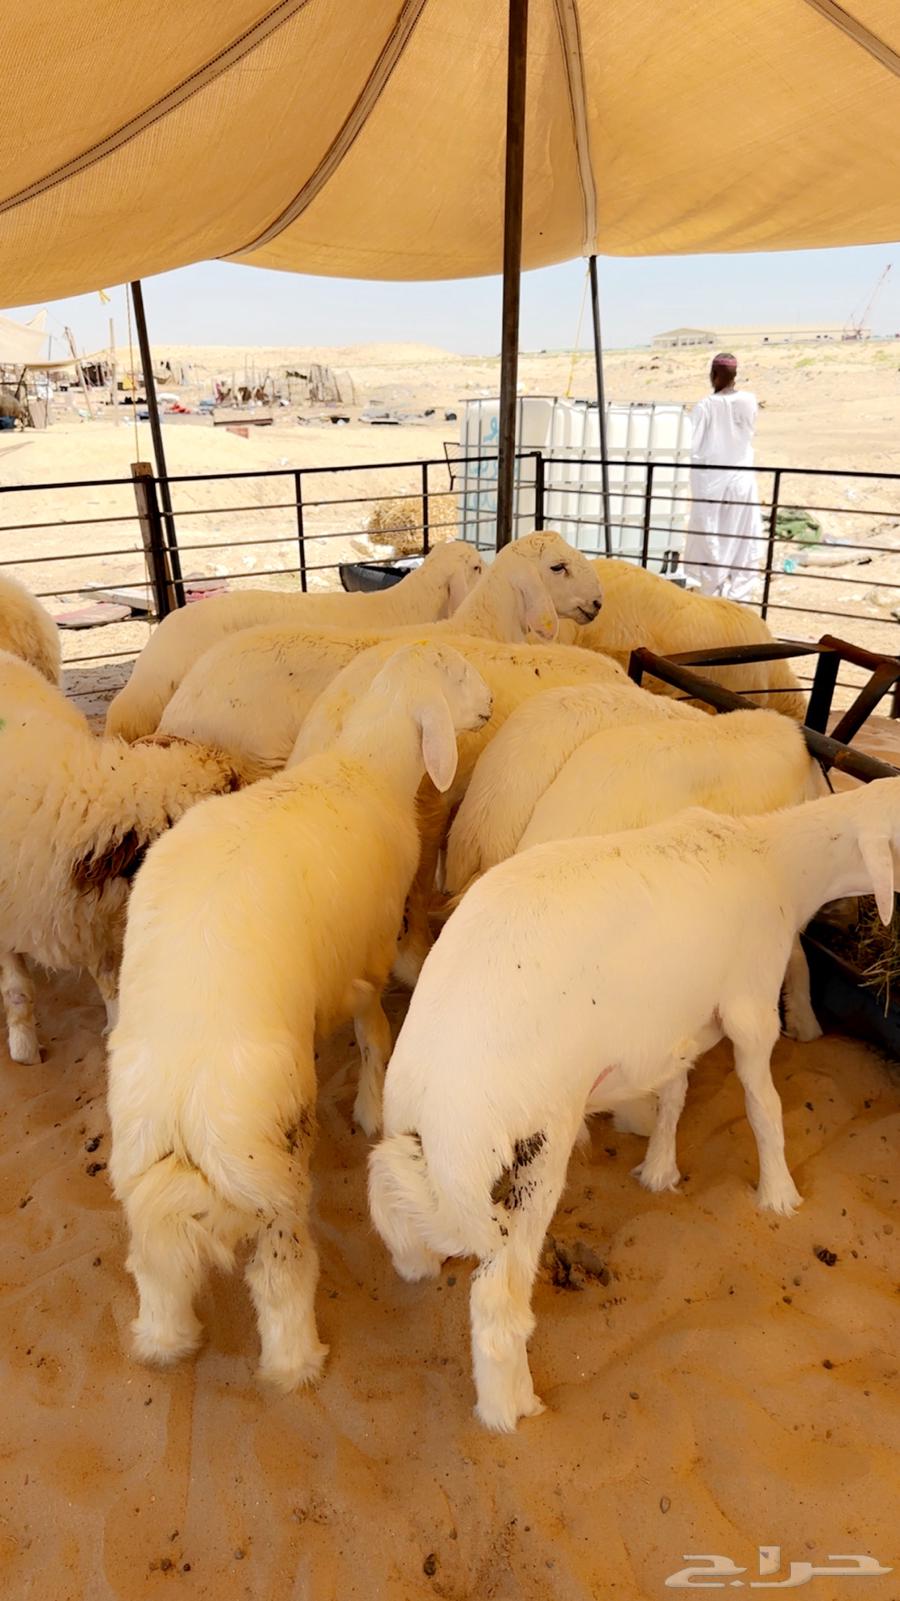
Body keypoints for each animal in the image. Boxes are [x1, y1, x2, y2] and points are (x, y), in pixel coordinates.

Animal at [0, 651, 248, 1065]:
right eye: (227, 790)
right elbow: (17, 991)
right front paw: (25, 1050)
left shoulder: (89, 922)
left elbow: (108, 979)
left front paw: (116, 1025)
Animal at [107, 643, 493, 1390]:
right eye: (459, 674)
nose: (491, 702)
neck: (367, 766)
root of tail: (184, 1098)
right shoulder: (365, 954)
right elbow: (375, 1035)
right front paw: (371, 1106)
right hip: (270, 1167)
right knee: (280, 1275)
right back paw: (297, 1362)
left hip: (141, 1165)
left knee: (155, 1265)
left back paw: (165, 1342)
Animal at [369, 777, 900, 1430]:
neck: (776, 863)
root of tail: (437, 1104)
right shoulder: (750, 1006)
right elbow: (764, 1107)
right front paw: (779, 1194)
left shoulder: (673, 1028)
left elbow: (674, 1095)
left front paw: (660, 1171)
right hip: (532, 1148)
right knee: (498, 1303)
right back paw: (513, 1410)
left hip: (413, 1146)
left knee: (387, 1194)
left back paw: (416, 1263)